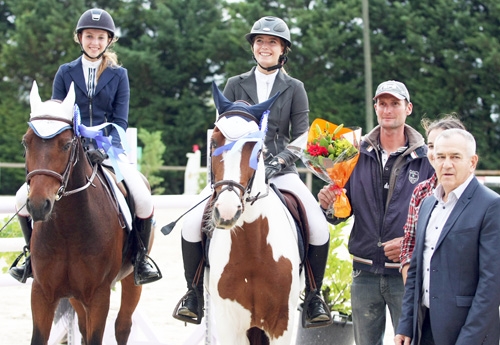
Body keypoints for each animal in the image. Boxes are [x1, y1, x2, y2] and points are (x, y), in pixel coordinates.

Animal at [23, 80, 145, 342]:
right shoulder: (42, 293)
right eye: (26, 142)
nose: (38, 205)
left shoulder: (99, 295)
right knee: (81, 326)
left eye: (67, 144)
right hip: (74, 296)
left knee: (122, 326)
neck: (68, 228)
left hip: (131, 281)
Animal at [205, 84, 302, 344]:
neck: (252, 247)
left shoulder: (282, 323)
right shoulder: (229, 324)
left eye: (256, 148)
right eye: (213, 142)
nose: (227, 210)